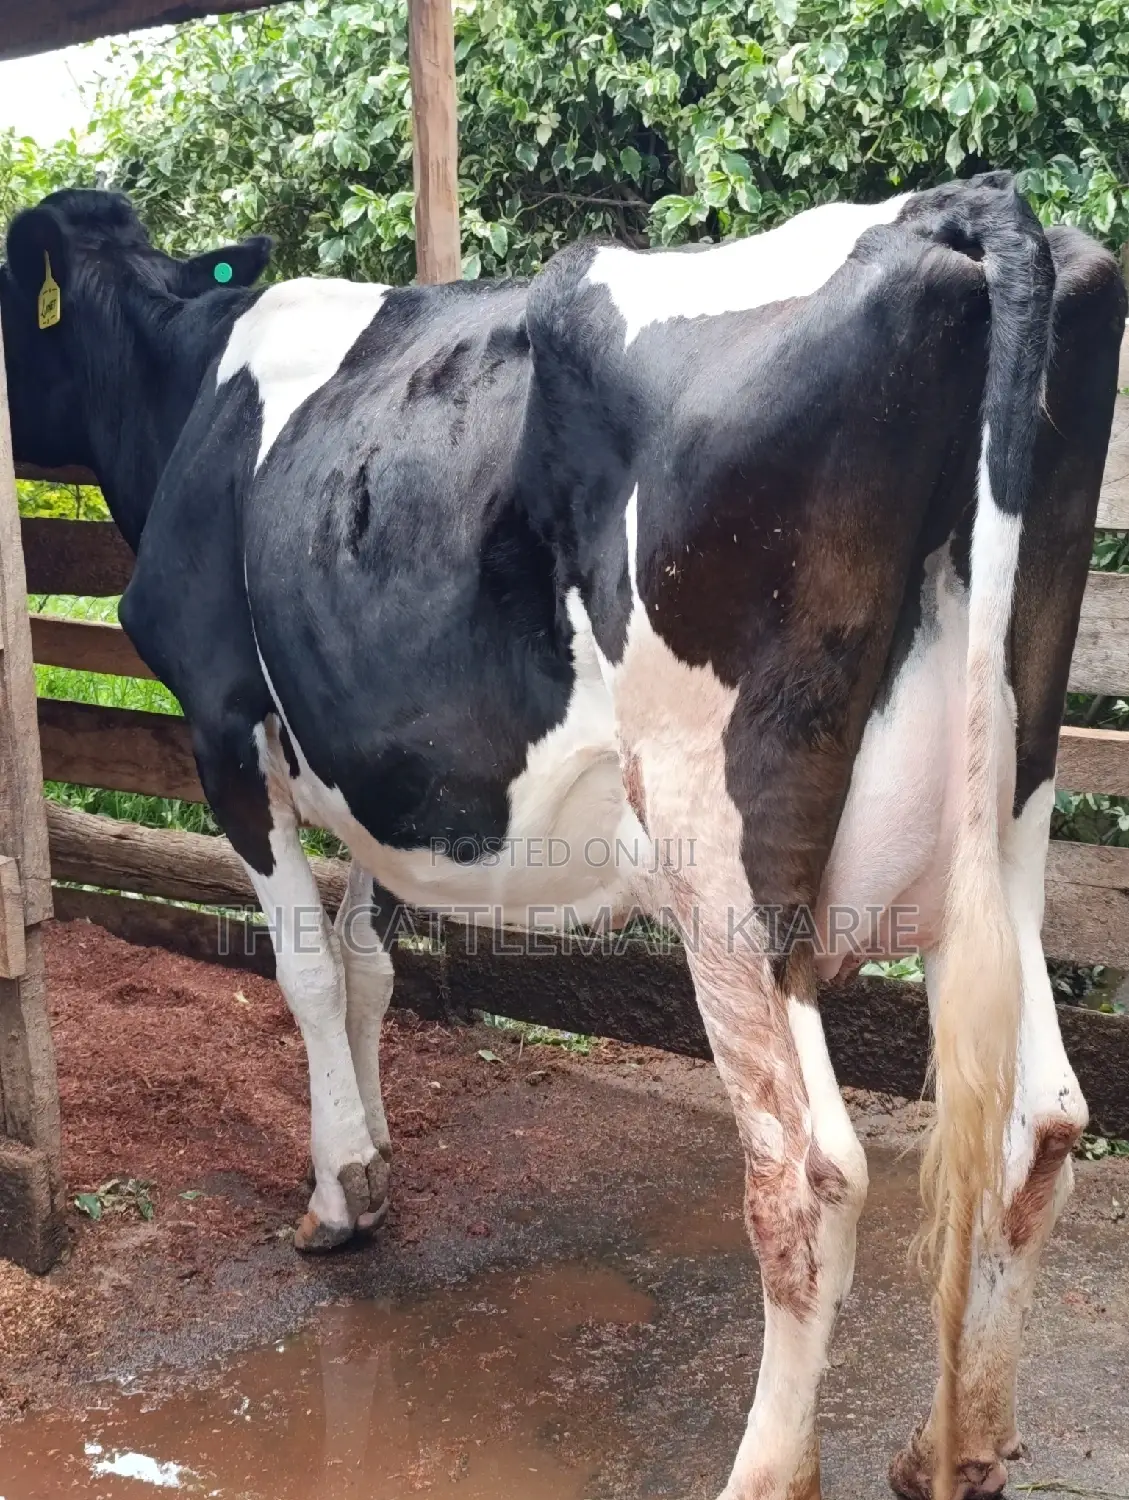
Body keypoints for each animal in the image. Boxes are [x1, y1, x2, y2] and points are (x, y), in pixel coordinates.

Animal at [2, 178, 1123, 1500]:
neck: (186, 379)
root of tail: (951, 207)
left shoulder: (224, 720)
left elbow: (309, 972)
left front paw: (337, 1191)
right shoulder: (402, 775)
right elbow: (370, 963)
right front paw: (375, 1160)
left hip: (721, 847)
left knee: (805, 1173)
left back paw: (767, 1469)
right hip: (1002, 816)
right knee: (1037, 1121)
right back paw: (957, 1444)